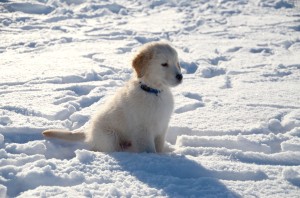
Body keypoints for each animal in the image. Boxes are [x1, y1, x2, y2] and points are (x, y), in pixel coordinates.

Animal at [42, 41, 183, 153]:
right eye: (164, 64)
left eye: (177, 63)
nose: (180, 76)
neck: (154, 92)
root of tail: (89, 132)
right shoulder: (143, 129)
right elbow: (149, 150)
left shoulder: (162, 126)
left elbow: (159, 146)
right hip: (110, 137)